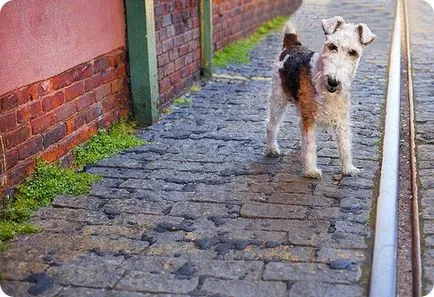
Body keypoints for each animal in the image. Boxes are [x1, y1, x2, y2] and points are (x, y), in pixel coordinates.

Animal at [266, 16, 374, 177]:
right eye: (332, 46)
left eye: (353, 52)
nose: (333, 81)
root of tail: (291, 45)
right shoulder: (309, 118)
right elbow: (311, 146)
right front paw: (311, 171)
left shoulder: (341, 119)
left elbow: (344, 145)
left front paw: (348, 169)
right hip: (278, 98)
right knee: (271, 124)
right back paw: (272, 149)